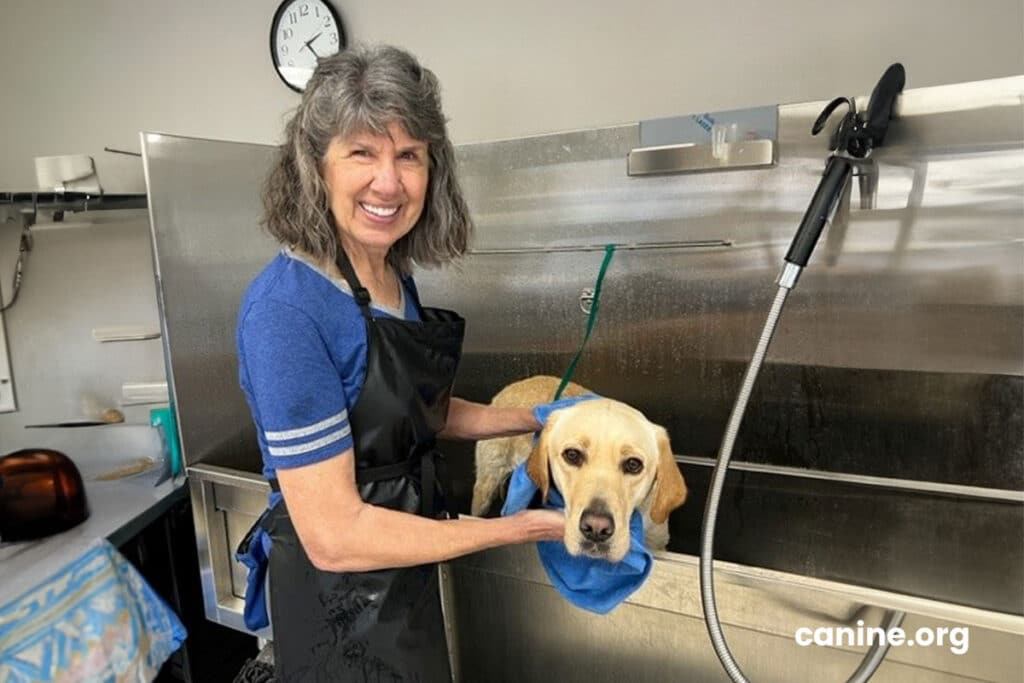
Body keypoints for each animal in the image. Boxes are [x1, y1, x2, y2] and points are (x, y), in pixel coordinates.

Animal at [473, 376, 688, 565]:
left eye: (633, 464)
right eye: (572, 455)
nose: (596, 528)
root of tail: (515, 384)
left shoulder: (657, 541)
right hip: (486, 484)